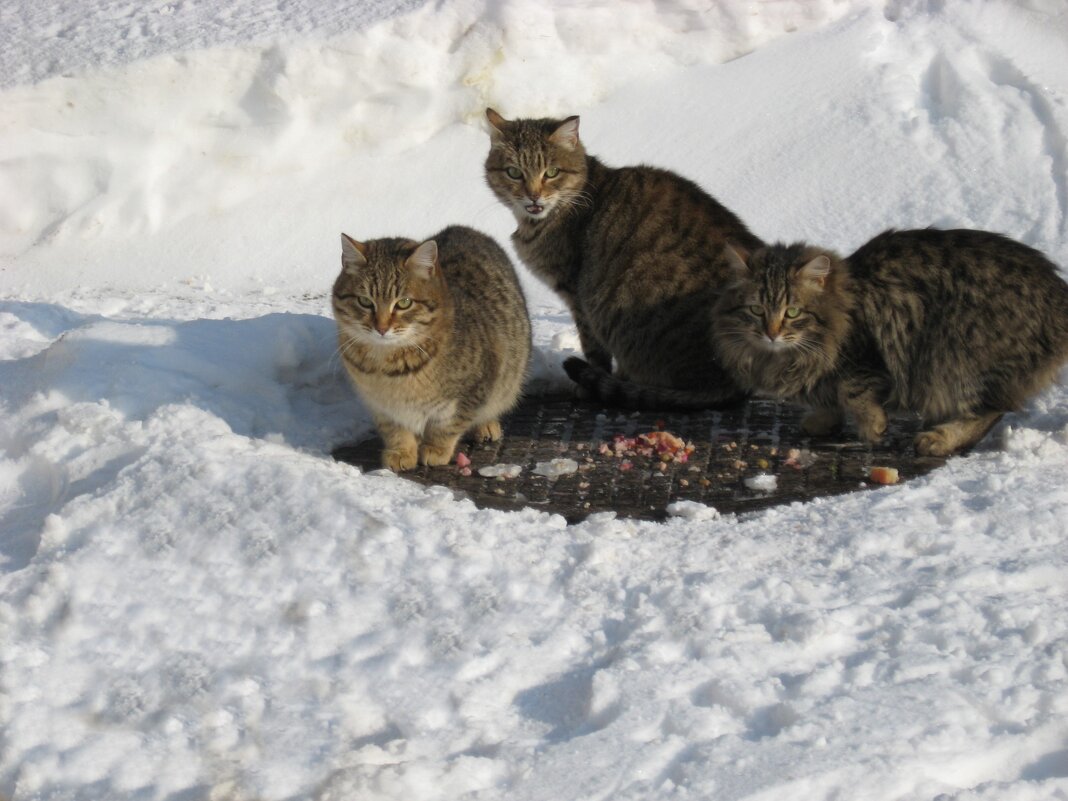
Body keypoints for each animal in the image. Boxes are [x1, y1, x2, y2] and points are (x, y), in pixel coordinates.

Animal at [333, 226, 529, 469]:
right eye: (365, 301)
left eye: (404, 303)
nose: (381, 328)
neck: (387, 368)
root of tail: (464, 228)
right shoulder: (381, 406)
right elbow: (395, 430)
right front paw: (402, 451)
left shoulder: (475, 388)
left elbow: (447, 425)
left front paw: (436, 448)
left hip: (510, 375)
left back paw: (485, 425)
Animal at [484, 108, 760, 407]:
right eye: (514, 173)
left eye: (552, 172)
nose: (533, 197)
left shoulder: (577, 295)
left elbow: (593, 347)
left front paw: (589, 384)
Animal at [709, 230, 1068, 457]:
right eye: (757, 310)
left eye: (792, 312)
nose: (771, 333)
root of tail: (1059, 296)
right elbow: (828, 399)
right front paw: (823, 420)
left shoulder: (862, 357)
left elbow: (853, 391)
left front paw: (873, 426)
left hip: (958, 355)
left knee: (991, 410)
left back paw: (939, 438)